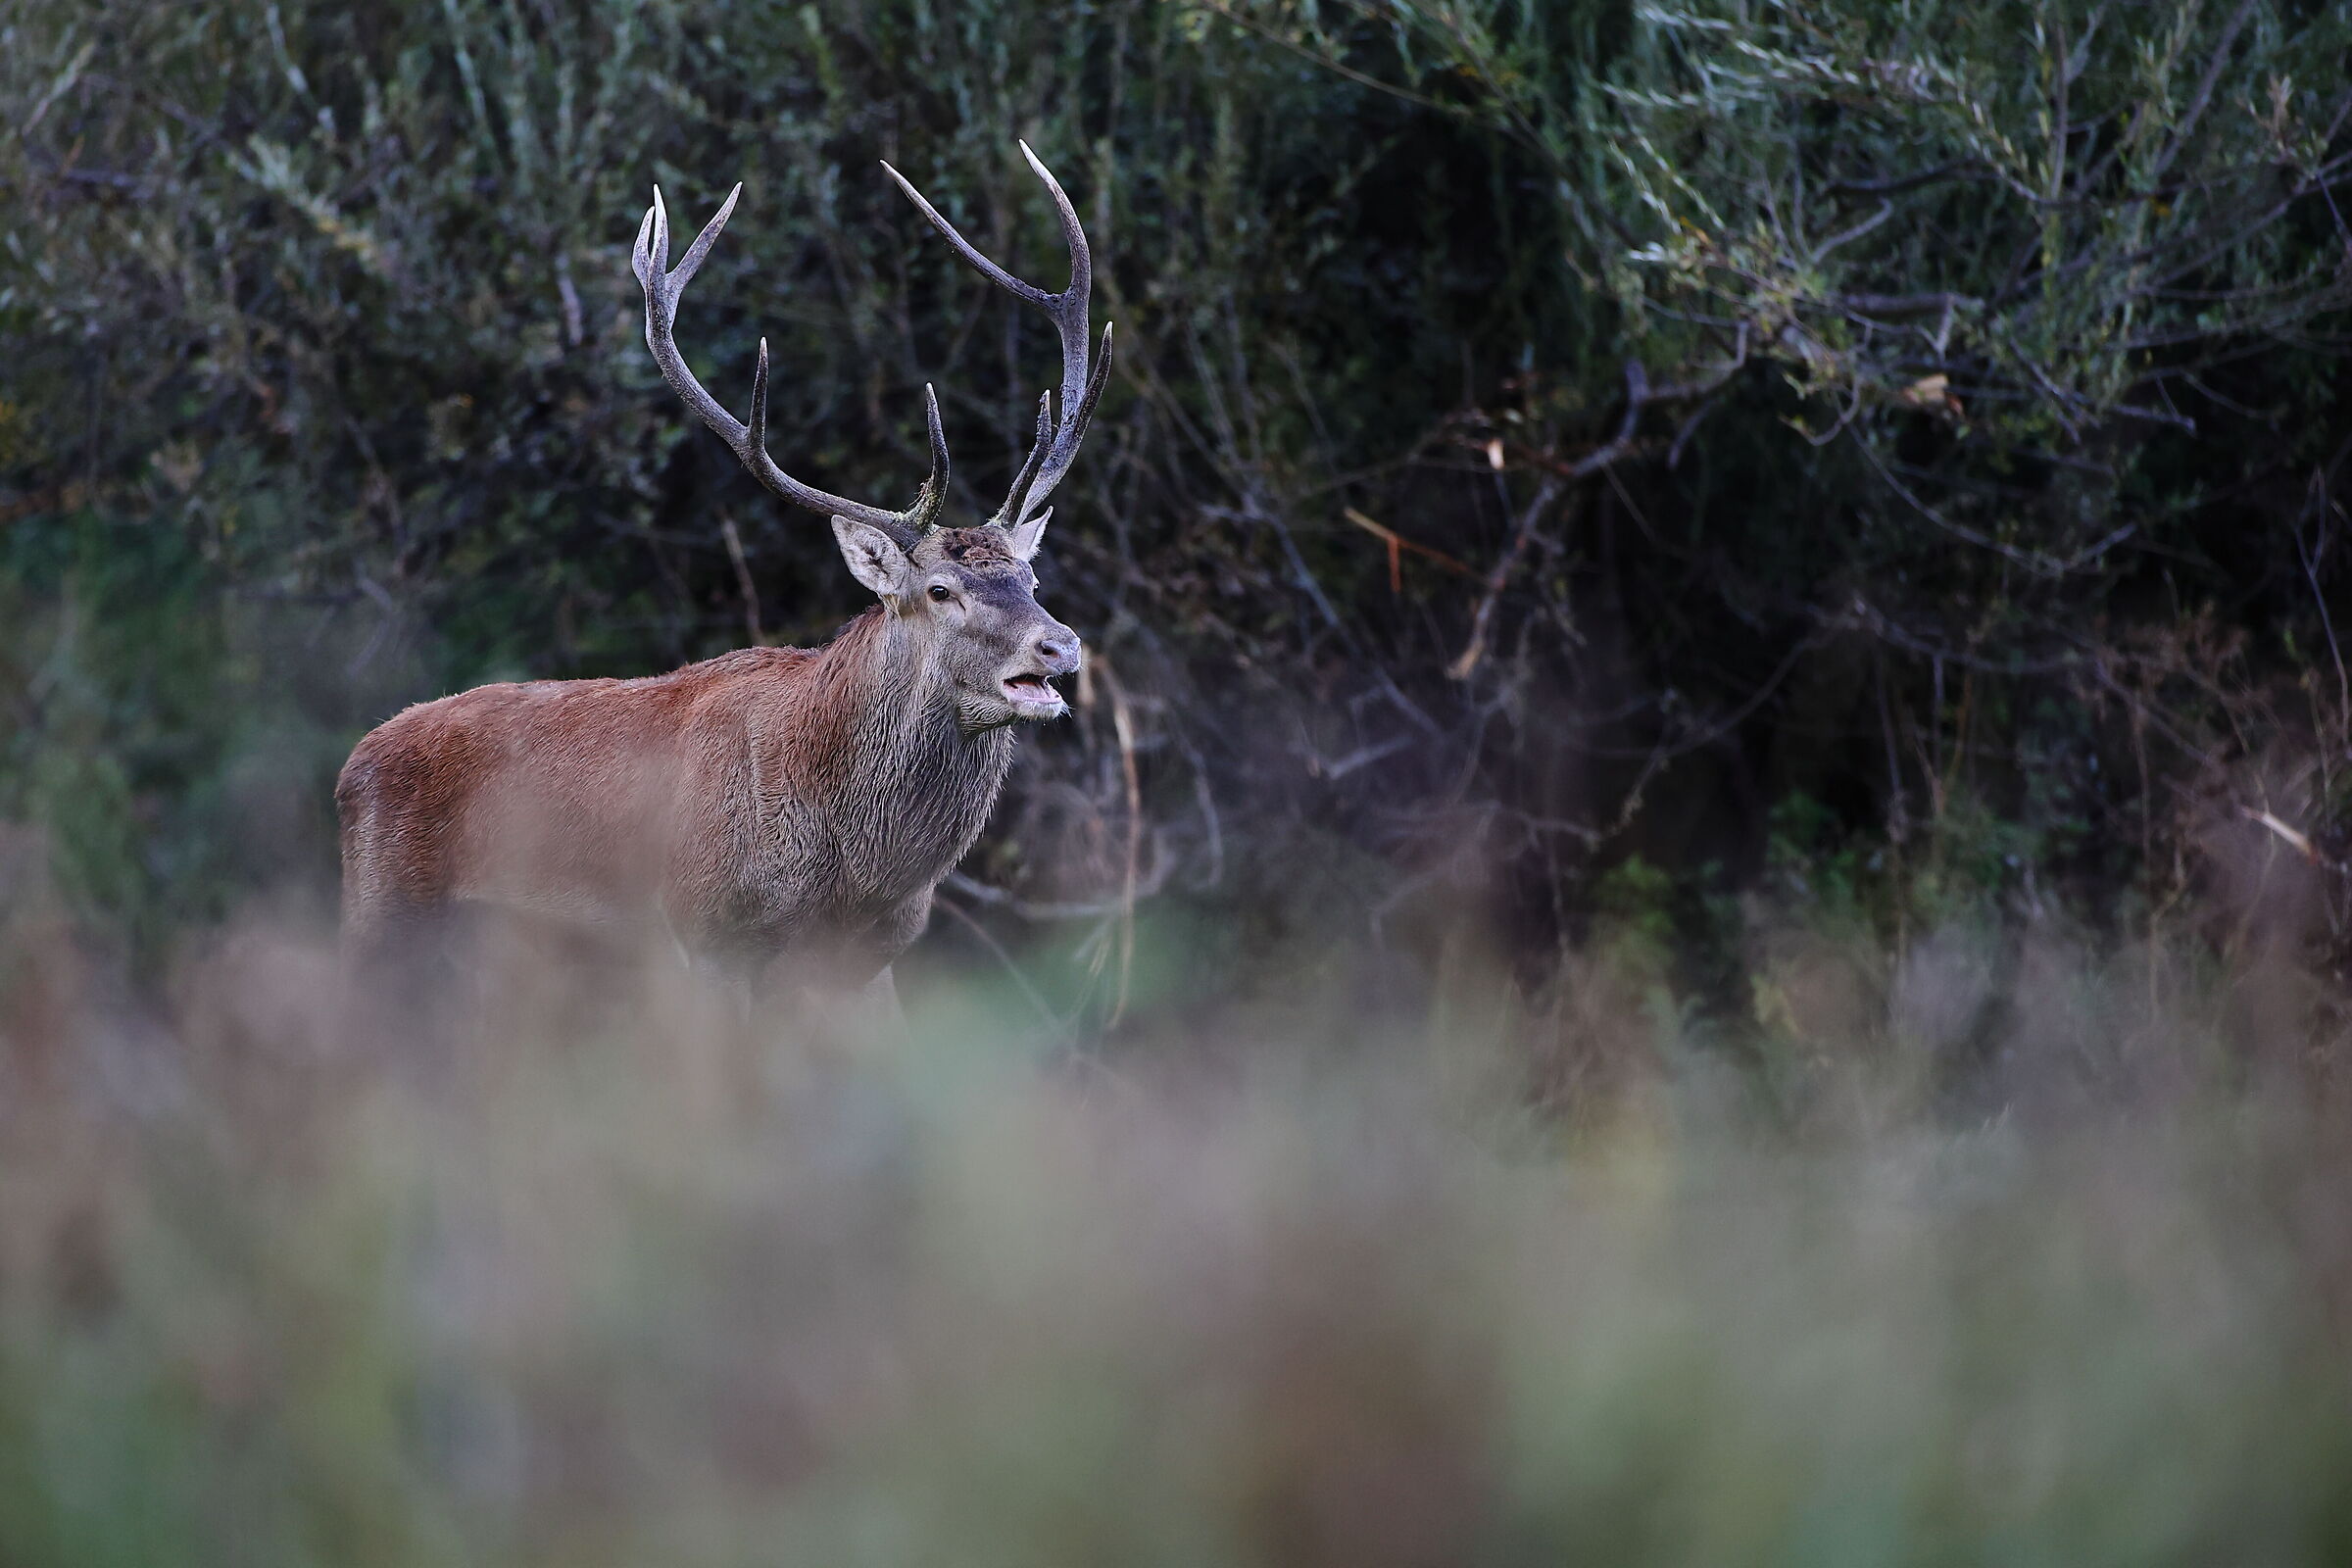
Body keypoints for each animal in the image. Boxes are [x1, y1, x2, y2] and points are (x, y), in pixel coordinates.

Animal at [335, 144, 1112, 1025]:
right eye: (940, 590)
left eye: (1029, 573)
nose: (1059, 645)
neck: (851, 876)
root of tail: (352, 770)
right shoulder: (702, 931)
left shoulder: (873, 962)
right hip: (382, 918)